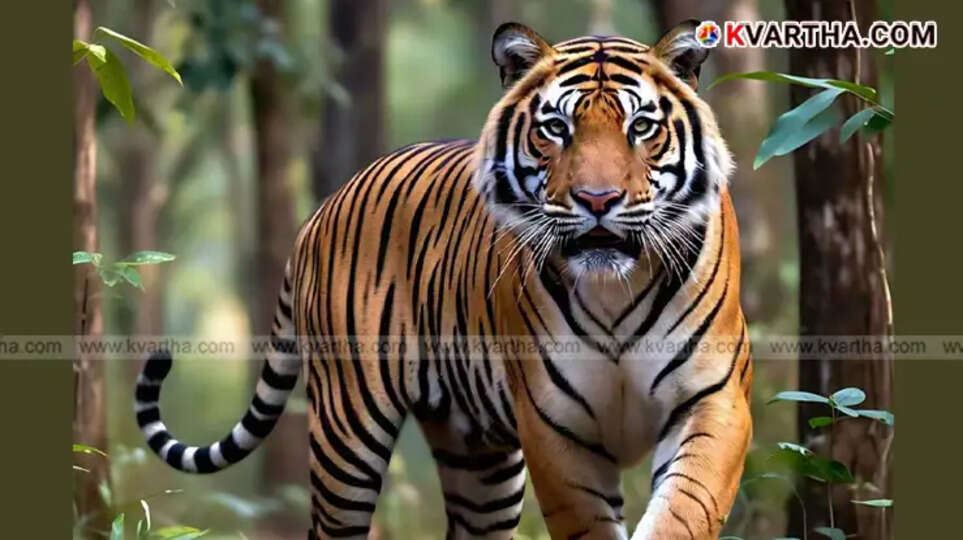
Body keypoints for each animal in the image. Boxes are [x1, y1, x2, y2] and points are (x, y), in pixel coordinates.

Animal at [135, 20, 752, 540]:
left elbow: (681, 513)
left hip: (477, 460)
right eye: (556, 129)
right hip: (347, 432)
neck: (612, 289)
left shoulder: (713, 402)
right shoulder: (555, 428)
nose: (597, 200)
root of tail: (322, 208)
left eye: (641, 127)